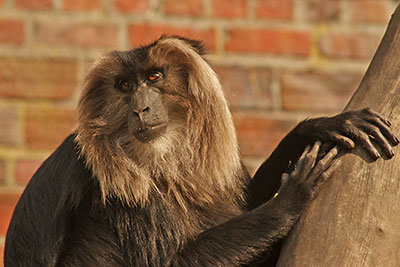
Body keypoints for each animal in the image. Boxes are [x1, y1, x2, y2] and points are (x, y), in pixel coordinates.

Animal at [3, 36, 400, 267]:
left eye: (154, 78)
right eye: (125, 86)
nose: (140, 108)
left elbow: (242, 197)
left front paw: (317, 127)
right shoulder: (113, 187)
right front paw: (292, 197)